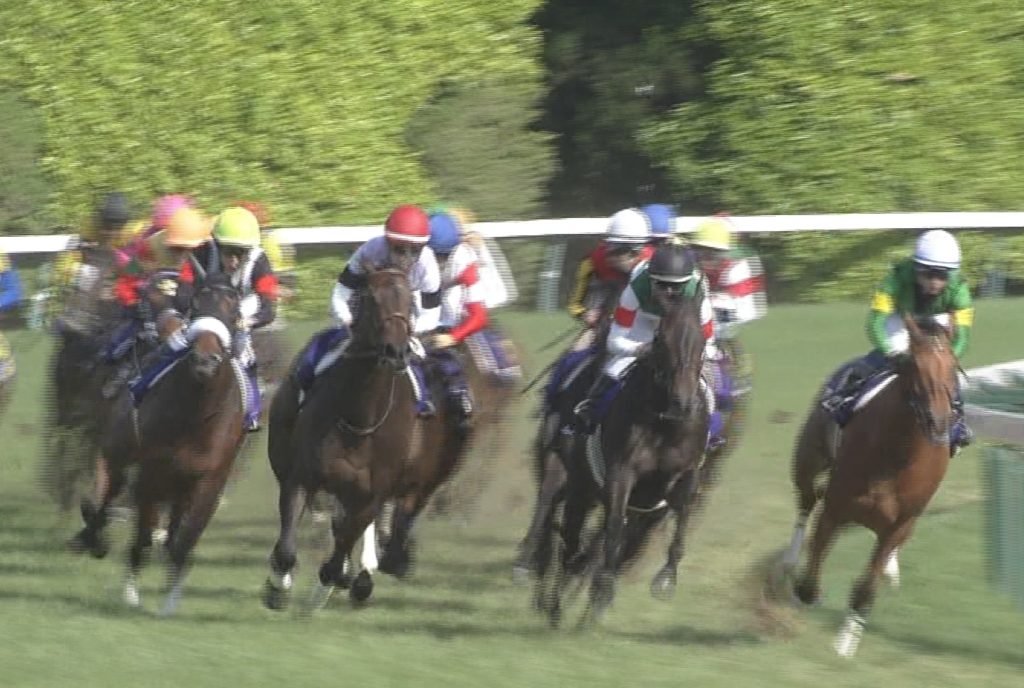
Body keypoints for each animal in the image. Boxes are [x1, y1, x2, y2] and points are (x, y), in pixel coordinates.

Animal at [72, 274, 245, 614]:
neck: (198, 414)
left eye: (234, 311)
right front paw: (131, 595)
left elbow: (184, 542)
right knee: (105, 495)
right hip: (120, 452)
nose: (205, 360)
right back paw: (93, 536)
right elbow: (141, 535)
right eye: (194, 305)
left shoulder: (209, 481)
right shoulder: (151, 471)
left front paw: (170, 601)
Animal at [266, 266, 421, 610]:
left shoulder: (371, 496)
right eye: (371, 298)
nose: (396, 352)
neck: (360, 419)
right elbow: (286, 549)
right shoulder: (302, 478)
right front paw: (277, 588)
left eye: (411, 299)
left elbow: (338, 556)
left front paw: (339, 581)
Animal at [782, 315, 958, 655]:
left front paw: (845, 644)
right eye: (914, 365)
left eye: (953, 366)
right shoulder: (835, 509)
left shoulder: (900, 524)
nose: (939, 421)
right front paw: (804, 595)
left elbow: (867, 585)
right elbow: (812, 570)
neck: (898, 456)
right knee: (806, 501)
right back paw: (790, 559)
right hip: (807, 460)